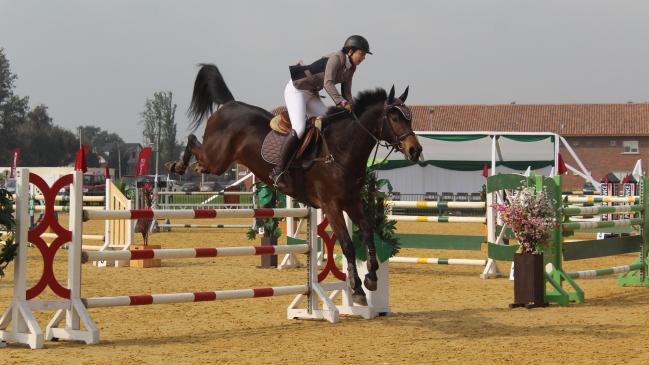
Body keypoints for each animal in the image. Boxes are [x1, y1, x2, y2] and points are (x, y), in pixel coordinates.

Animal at [167, 63, 422, 304]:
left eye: (410, 117)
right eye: (395, 117)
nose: (415, 150)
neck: (342, 148)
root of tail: (230, 104)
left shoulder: (352, 201)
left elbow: (368, 232)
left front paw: (371, 277)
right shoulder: (331, 205)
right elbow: (347, 245)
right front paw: (357, 289)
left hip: (219, 161)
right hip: (217, 159)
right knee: (192, 140)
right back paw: (177, 165)